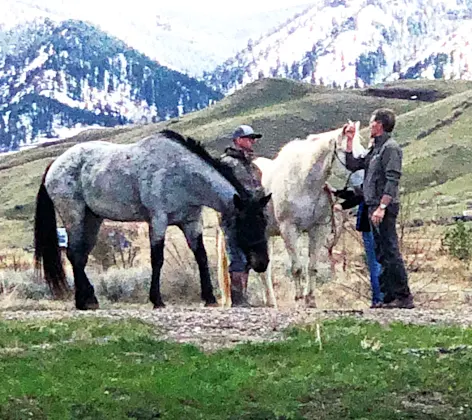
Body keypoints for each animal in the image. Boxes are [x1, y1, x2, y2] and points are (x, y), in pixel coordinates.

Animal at [33, 130, 272, 310]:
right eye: (247, 225)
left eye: (263, 223)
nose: (262, 263)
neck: (182, 175)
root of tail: (55, 164)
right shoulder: (158, 221)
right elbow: (157, 259)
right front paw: (157, 300)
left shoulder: (191, 223)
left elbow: (201, 257)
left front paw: (209, 298)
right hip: (74, 216)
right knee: (74, 254)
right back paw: (85, 301)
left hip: (93, 219)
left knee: (80, 257)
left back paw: (87, 299)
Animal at [218, 120, 366, 306]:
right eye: (350, 154)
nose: (362, 187)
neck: (303, 181)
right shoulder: (289, 230)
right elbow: (297, 268)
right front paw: (299, 299)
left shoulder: (318, 229)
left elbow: (312, 267)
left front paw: (310, 300)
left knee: (263, 270)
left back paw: (271, 303)